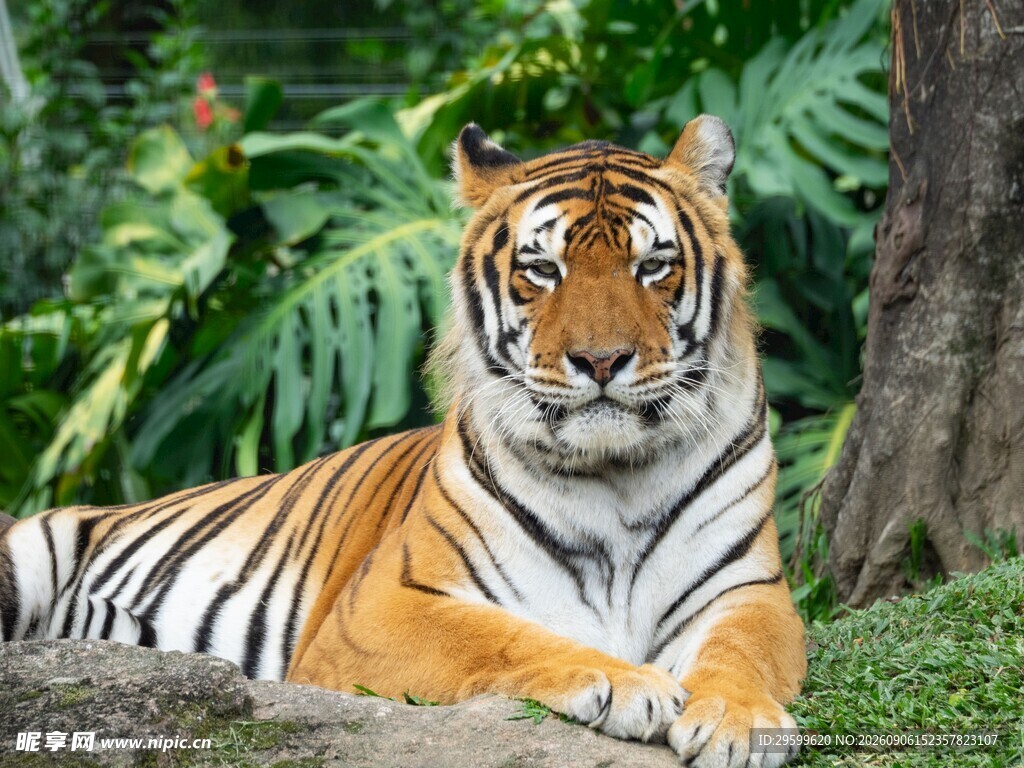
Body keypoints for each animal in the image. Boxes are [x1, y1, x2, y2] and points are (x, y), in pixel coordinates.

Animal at [0, 116, 806, 767]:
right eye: (543, 270)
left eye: (653, 266)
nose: (602, 361)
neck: (613, 477)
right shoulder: (385, 605)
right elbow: (508, 637)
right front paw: (626, 680)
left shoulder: (749, 588)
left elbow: (744, 652)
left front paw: (740, 722)